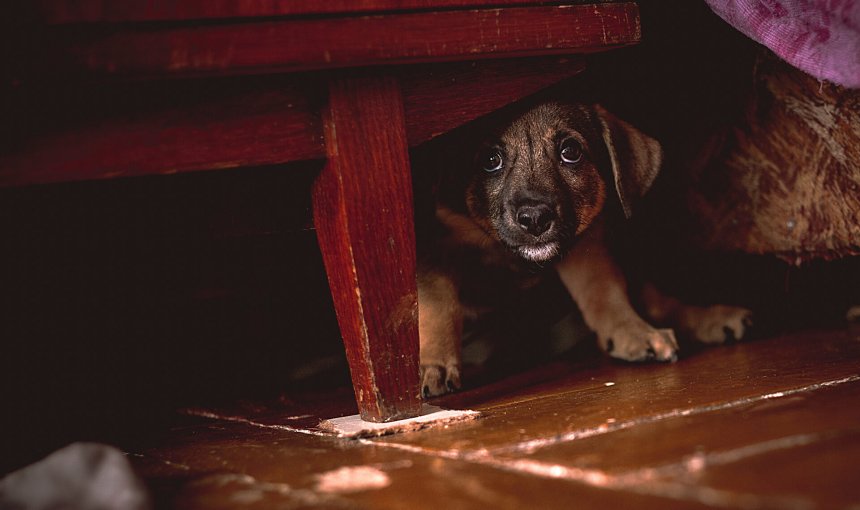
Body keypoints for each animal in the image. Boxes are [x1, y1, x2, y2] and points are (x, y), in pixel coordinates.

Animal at [418, 102, 752, 398]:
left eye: (571, 152)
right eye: (490, 160)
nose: (535, 218)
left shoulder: (586, 246)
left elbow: (604, 292)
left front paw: (632, 331)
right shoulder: (435, 248)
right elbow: (439, 306)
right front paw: (434, 365)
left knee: (657, 300)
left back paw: (711, 318)